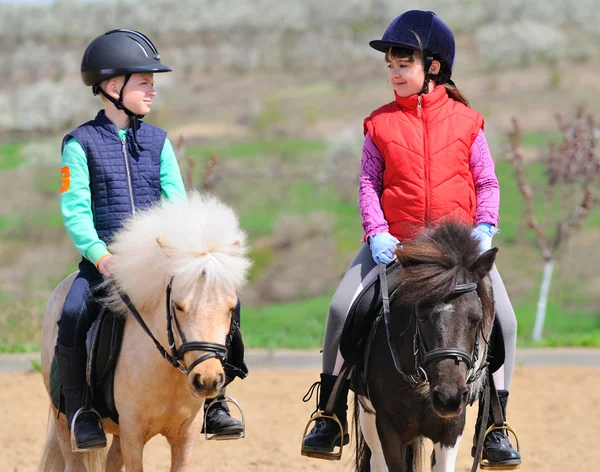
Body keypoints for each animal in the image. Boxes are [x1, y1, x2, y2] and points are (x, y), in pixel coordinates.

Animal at [39, 193, 251, 472]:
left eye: (230, 308)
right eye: (178, 306)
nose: (206, 380)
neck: (166, 372)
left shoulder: (186, 435)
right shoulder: (133, 433)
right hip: (65, 426)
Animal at [354, 222, 494, 472]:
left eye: (476, 319)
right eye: (422, 317)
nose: (448, 398)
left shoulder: (451, 429)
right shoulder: (387, 428)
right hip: (368, 417)